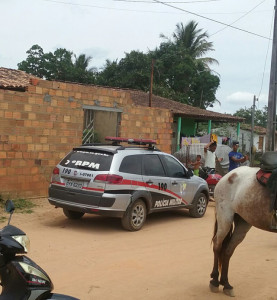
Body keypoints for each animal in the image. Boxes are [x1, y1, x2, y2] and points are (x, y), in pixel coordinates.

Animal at [208, 165, 274, 296]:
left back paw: (226, 284)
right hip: (225, 218)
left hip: (243, 222)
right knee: (217, 244)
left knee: (228, 250)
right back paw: (215, 281)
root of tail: (228, 175)